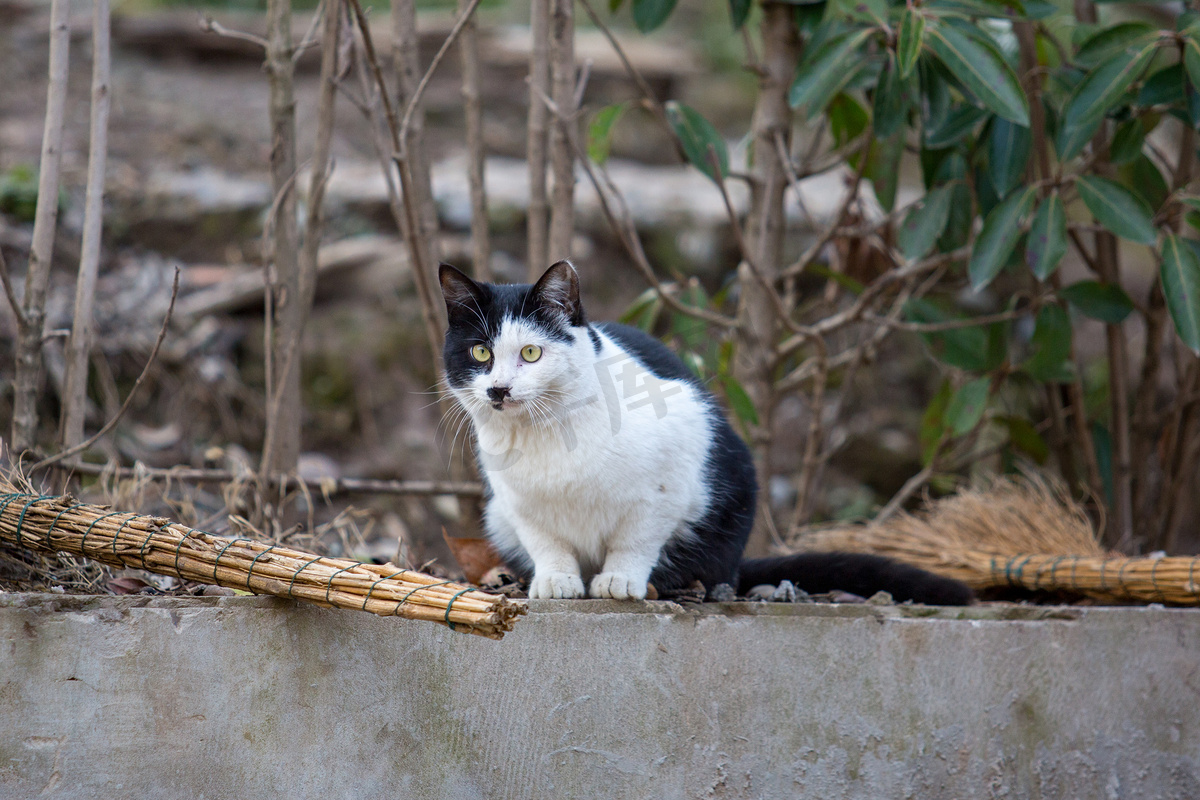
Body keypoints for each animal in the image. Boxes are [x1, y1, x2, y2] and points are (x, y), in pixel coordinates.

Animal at [441, 262, 974, 606]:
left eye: (531, 353)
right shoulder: (516, 502)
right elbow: (547, 541)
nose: (499, 389)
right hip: (496, 518)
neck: (548, 430)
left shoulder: (671, 473)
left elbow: (636, 538)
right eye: (481, 353)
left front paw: (619, 580)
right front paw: (556, 581)